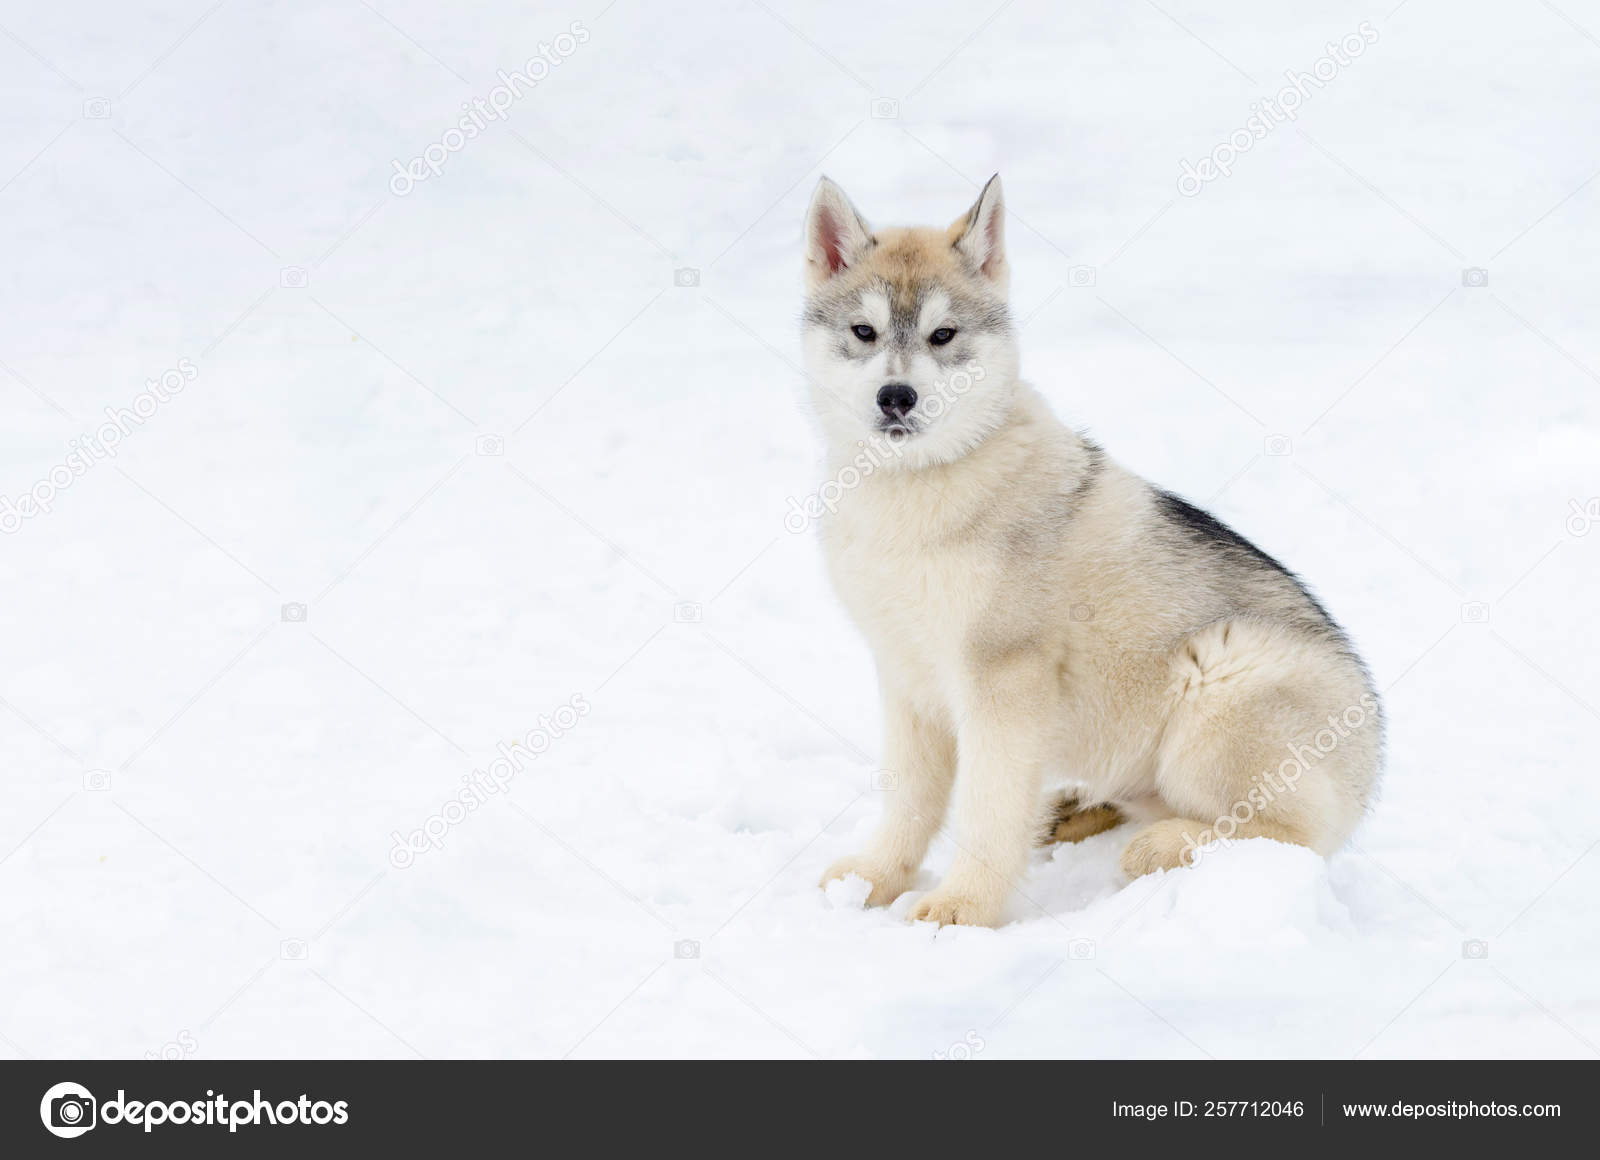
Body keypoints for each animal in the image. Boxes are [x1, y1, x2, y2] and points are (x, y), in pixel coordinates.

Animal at [806, 176, 1382, 928]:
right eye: (864, 332)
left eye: (943, 335)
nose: (895, 396)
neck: (917, 488)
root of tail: (1372, 763)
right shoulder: (906, 677)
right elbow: (909, 798)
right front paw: (875, 878)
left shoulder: (1002, 683)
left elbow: (987, 810)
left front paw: (963, 907)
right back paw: (1078, 808)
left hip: (1221, 681)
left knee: (1289, 836)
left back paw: (1164, 846)